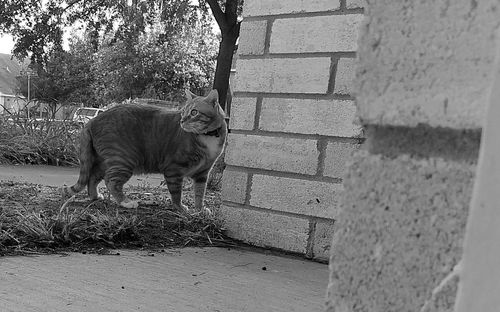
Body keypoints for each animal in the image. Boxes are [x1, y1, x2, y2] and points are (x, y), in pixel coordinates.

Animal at [60, 89, 227, 213]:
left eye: (193, 112)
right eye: (183, 112)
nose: (182, 121)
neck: (207, 136)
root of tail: (93, 120)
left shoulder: (202, 173)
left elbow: (200, 193)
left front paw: (200, 210)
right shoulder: (174, 169)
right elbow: (176, 193)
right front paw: (180, 208)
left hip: (105, 161)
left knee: (92, 178)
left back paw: (95, 196)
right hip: (124, 159)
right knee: (111, 181)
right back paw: (125, 202)